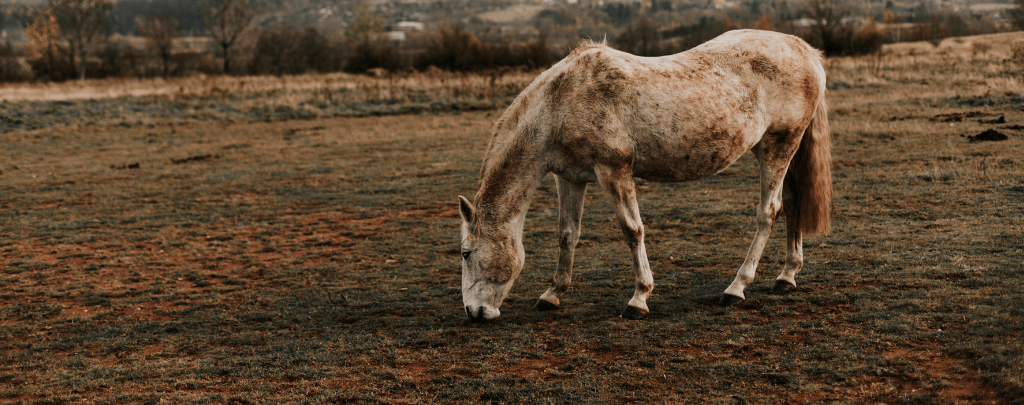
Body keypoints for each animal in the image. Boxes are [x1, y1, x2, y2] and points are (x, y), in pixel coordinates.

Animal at [456, 29, 831, 323]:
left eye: (465, 253)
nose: (473, 312)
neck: (560, 102)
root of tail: (803, 49)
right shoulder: (570, 177)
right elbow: (567, 234)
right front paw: (552, 294)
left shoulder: (614, 170)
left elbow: (632, 231)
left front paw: (639, 298)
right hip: (777, 150)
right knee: (794, 204)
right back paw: (786, 276)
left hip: (778, 146)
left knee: (768, 212)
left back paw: (736, 287)